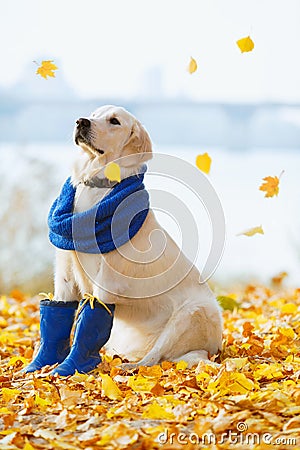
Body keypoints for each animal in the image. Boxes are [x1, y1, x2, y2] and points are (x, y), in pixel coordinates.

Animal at [54, 106, 223, 370]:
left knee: (153, 360)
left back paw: (128, 368)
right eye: (94, 114)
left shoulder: (107, 282)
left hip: (191, 312)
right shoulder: (64, 272)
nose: (81, 121)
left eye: (114, 121)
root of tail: (208, 351)